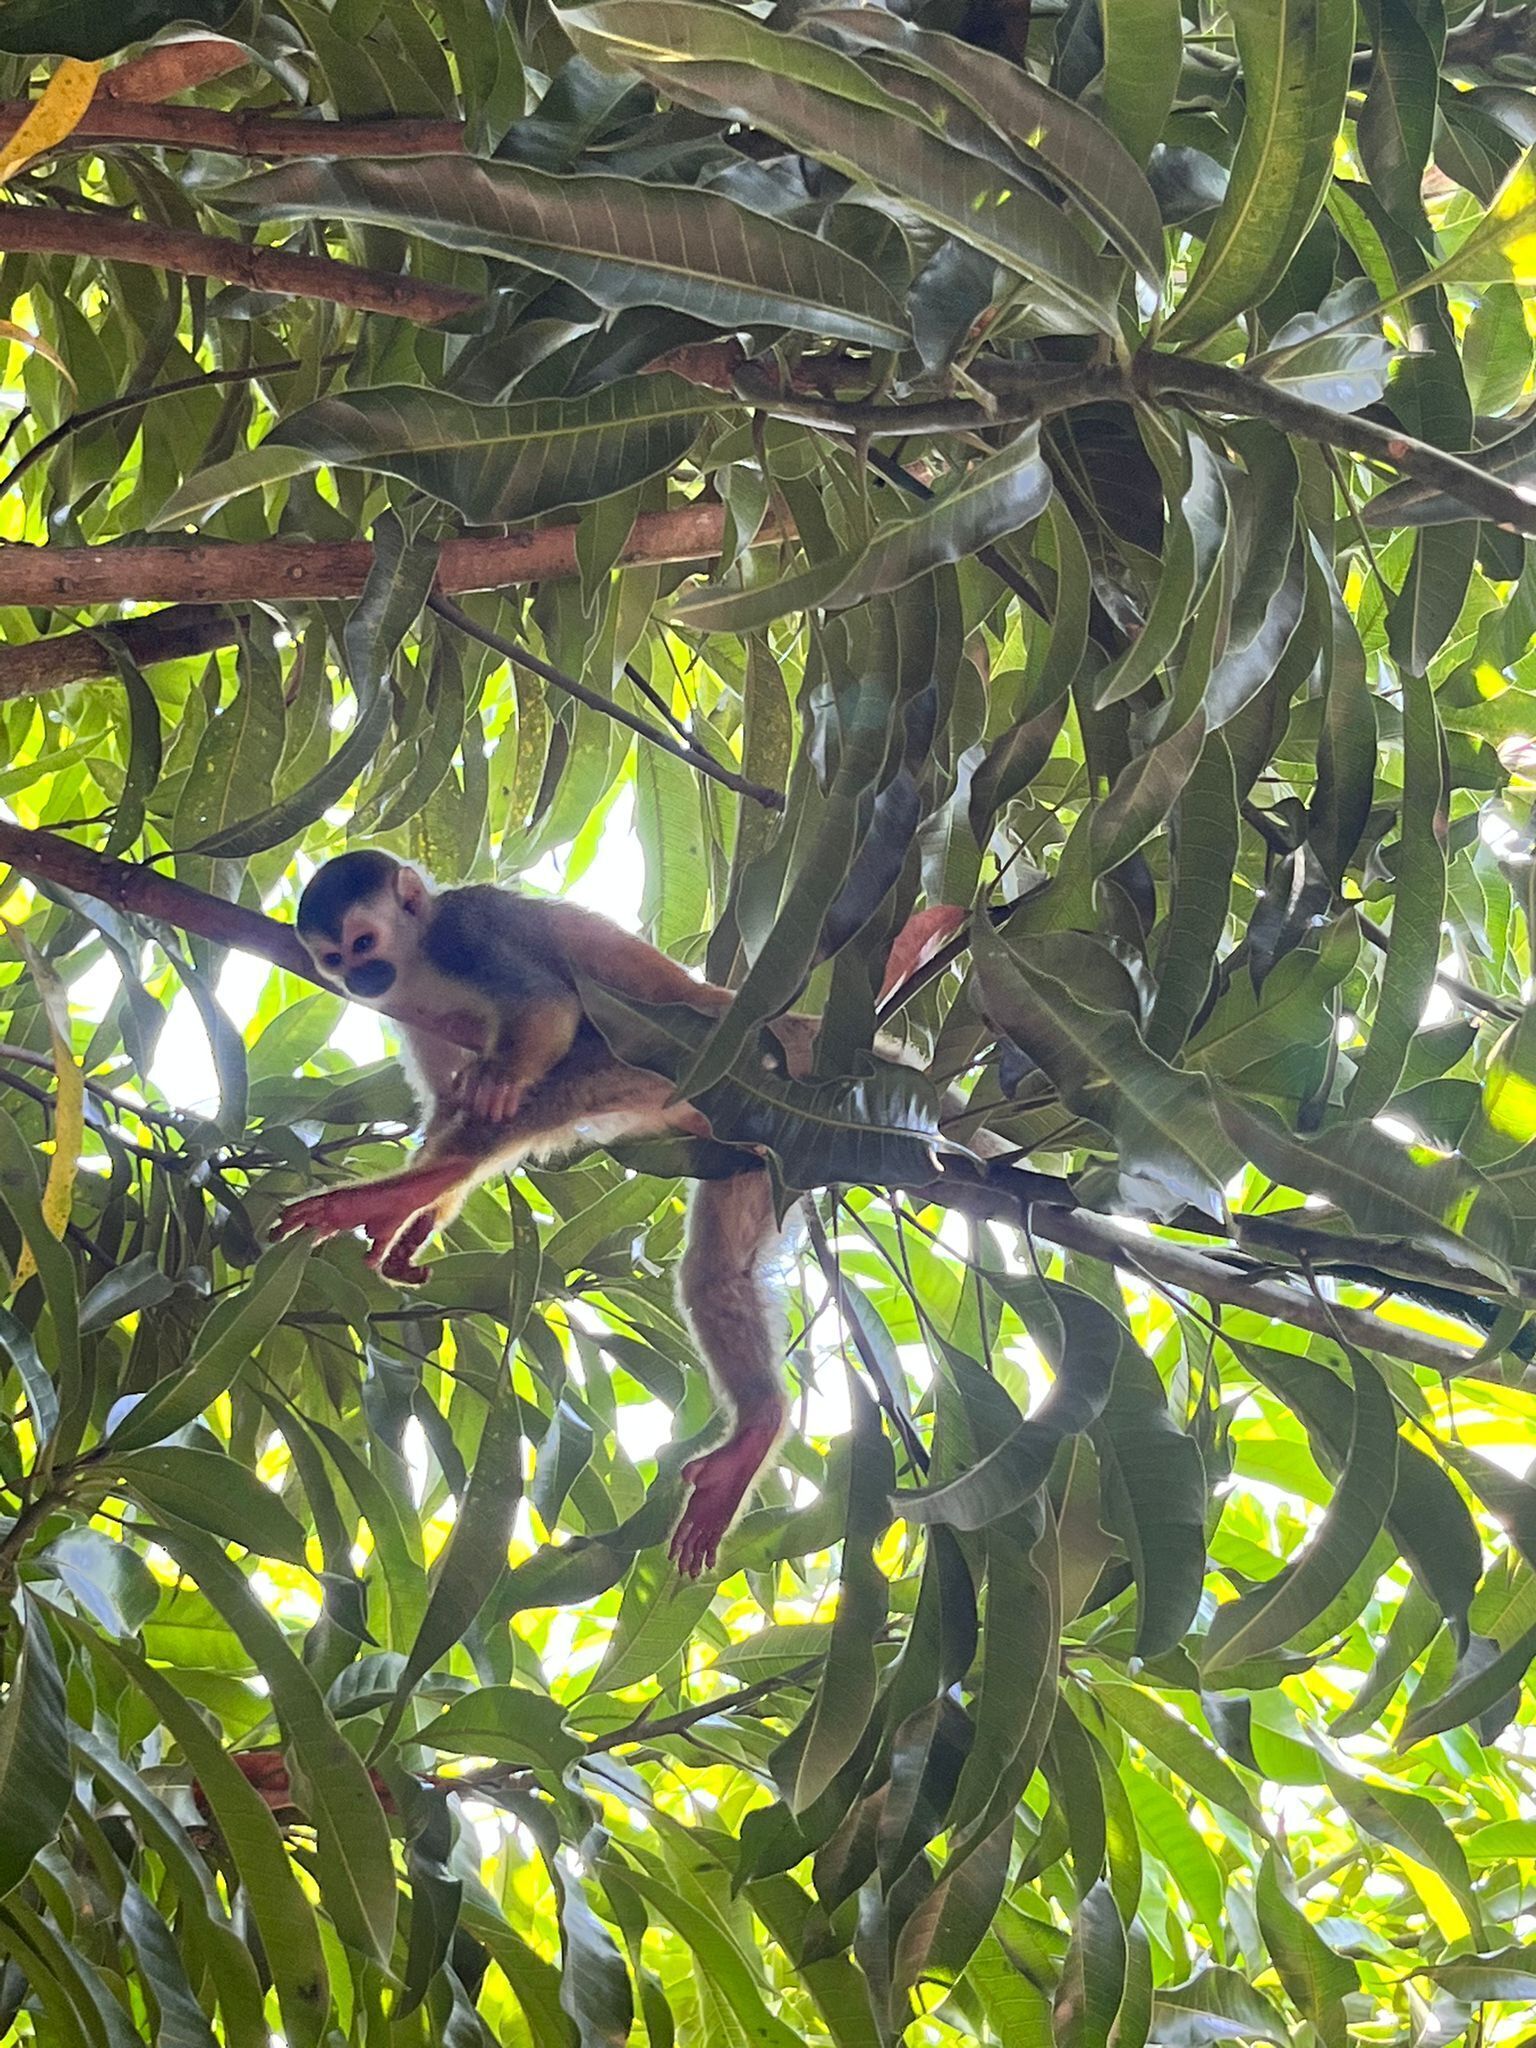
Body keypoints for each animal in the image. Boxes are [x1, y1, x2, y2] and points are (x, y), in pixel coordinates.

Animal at [272, 850, 800, 1576]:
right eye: (332, 958)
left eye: (363, 942)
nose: (358, 977)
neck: (417, 957)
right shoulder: (407, 1010)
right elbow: (445, 1103)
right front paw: (417, 1226)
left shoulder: (467, 932)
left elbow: (548, 1005)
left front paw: (493, 1088)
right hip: (752, 1151)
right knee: (717, 1275)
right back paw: (759, 1423)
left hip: (687, 1059)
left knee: (564, 1075)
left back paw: (409, 1183)